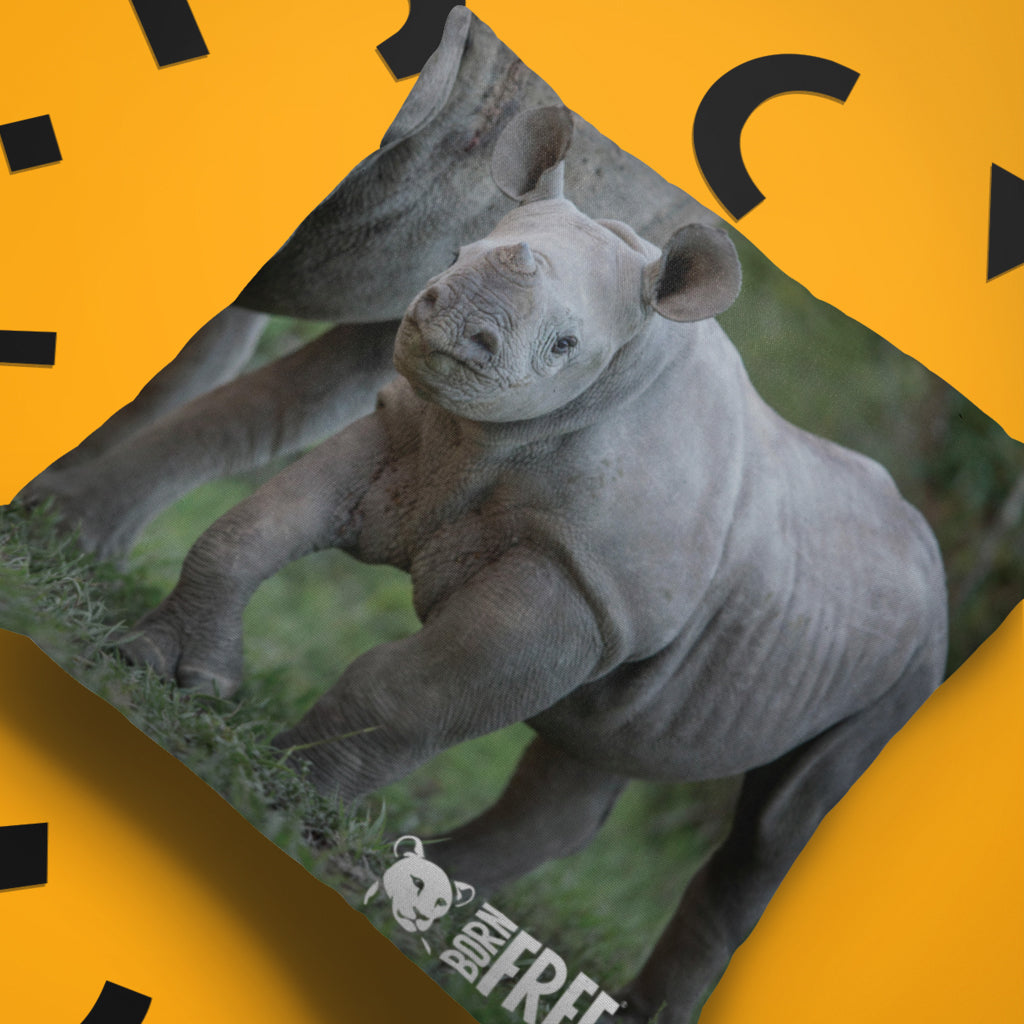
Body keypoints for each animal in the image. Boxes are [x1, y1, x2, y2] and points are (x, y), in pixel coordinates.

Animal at [118, 106, 949, 1024]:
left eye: (566, 344)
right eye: (452, 254)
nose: (457, 325)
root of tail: (931, 560)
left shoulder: (583, 585)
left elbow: (411, 688)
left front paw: (282, 787)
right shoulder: (418, 432)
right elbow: (253, 529)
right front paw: (176, 673)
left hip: (912, 669)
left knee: (773, 830)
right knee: (602, 744)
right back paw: (434, 889)